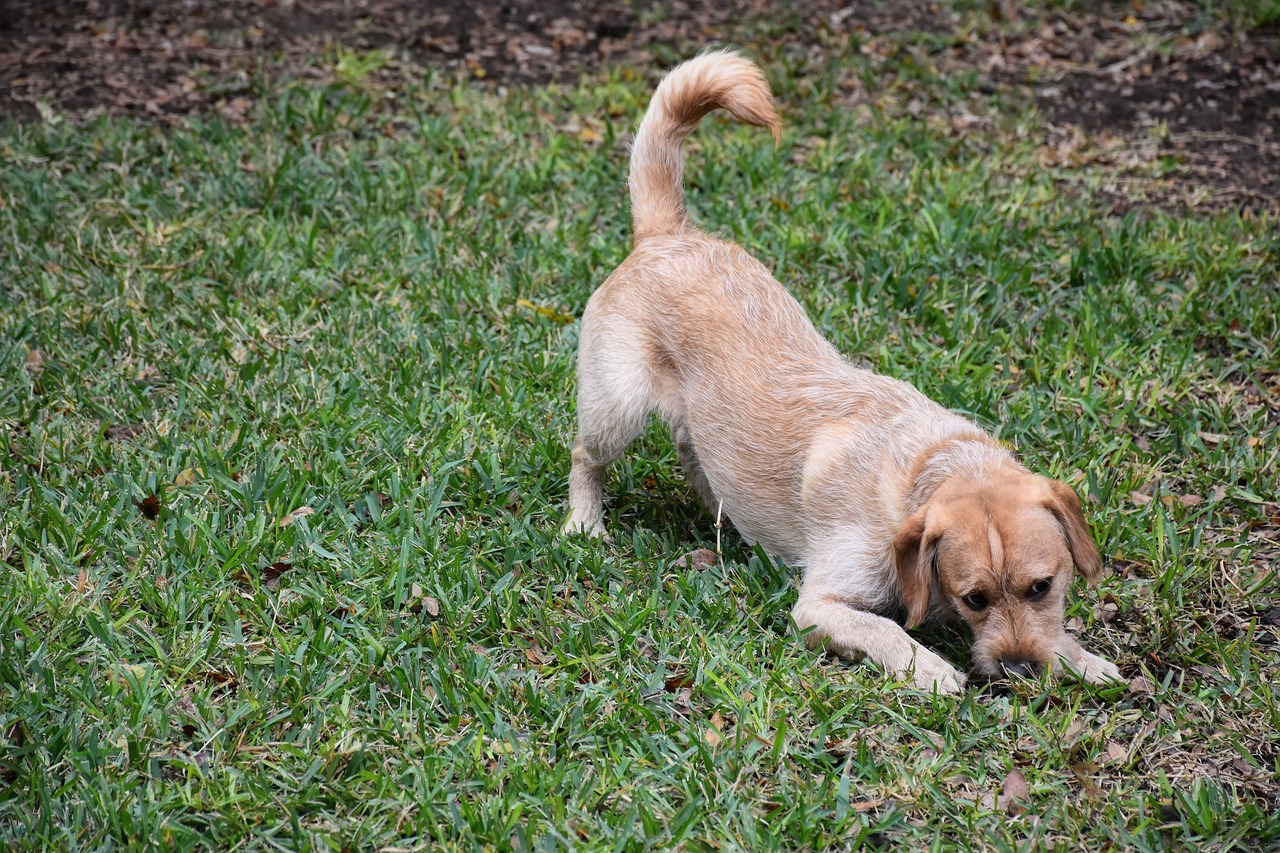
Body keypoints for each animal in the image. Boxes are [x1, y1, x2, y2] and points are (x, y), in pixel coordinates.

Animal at [565, 49, 1126, 691]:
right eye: (975, 598)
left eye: (1042, 586)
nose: (1020, 670)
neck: (925, 470)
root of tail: (666, 232)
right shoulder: (820, 606)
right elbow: (887, 631)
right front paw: (932, 670)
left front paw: (1078, 657)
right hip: (616, 407)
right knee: (586, 457)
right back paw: (584, 523)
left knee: (694, 451)